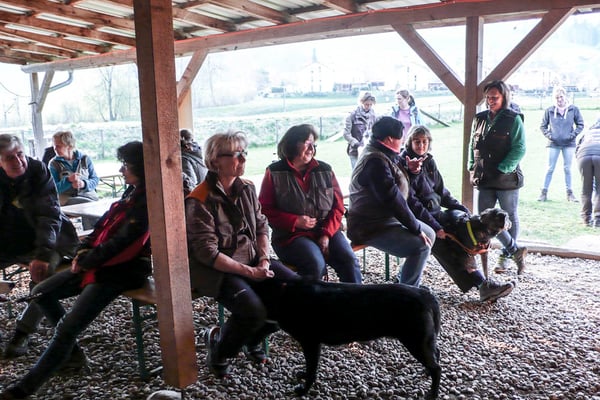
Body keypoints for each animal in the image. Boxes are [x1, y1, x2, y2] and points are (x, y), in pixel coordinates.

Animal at [257, 279, 441, 399]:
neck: (283, 295)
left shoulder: (310, 343)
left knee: (437, 368)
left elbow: (311, 370)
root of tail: (425, 294)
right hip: (423, 340)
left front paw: (303, 390)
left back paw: (432, 394)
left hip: (416, 341)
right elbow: (309, 369)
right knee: (436, 355)